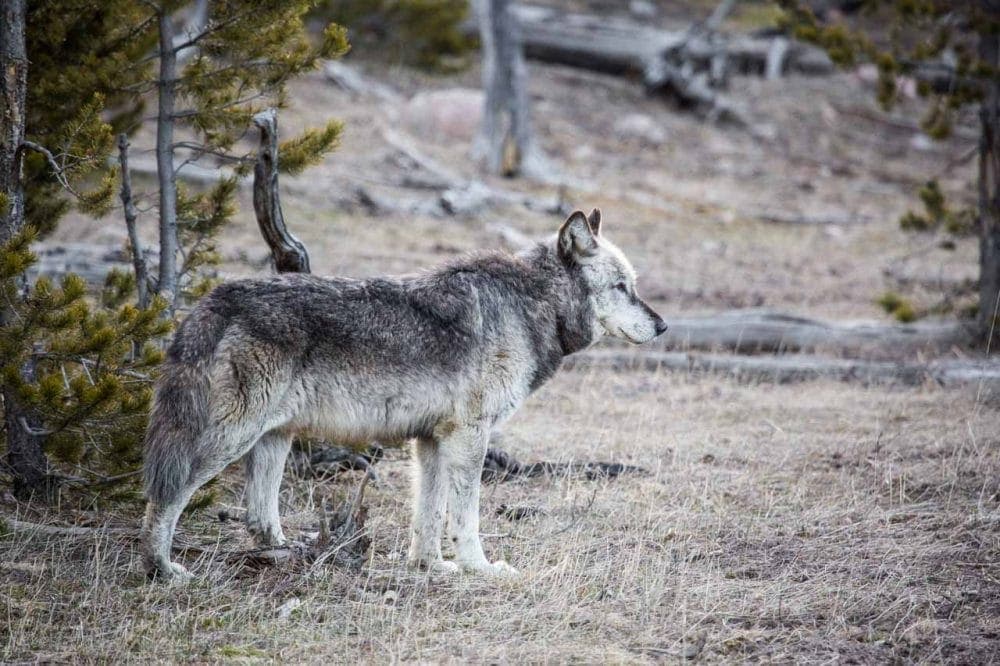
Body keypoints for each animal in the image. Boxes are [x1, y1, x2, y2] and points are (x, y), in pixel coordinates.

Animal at [140, 209, 667, 581]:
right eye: (621, 287)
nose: (663, 326)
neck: (531, 304)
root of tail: (211, 301)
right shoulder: (469, 436)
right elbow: (465, 516)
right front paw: (480, 568)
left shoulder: (431, 440)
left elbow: (428, 516)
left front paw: (431, 566)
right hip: (231, 439)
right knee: (166, 495)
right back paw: (161, 569)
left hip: (274, 440)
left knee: (258, 517)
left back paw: (287, 555)